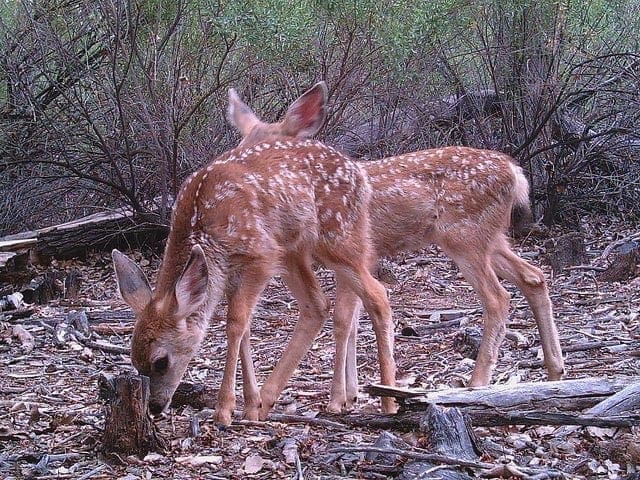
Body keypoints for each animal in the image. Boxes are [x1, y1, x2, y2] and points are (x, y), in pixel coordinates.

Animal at [111, 82, 397, 426]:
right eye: (134, 362)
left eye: (161, 361)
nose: (154, 406)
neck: (200, 225)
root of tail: (361, 175)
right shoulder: (229, 269)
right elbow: (245, 326)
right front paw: (248, 404)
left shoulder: (261, 254)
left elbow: (235, 322)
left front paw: (224, 409)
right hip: (298, 250)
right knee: (320, 305)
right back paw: (272, 399)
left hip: (335, 239)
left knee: (376, 295)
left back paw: (388, 401)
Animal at [227, 82, 565, 414]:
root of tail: (516, 173)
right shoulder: (357, 260)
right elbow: (351, 320)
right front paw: (350, 395)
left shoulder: (355, 256)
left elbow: (343, 319)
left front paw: (338, 400)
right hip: (490, 239)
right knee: (534, 277)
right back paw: (554, 371)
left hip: (466, 238)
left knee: (498, 298)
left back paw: (477, 384)